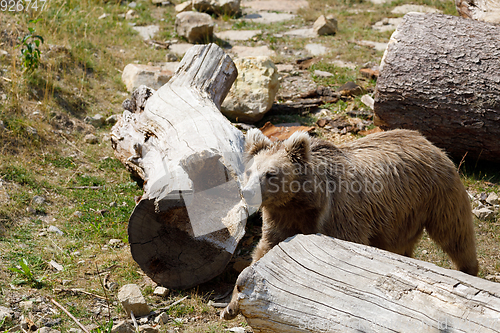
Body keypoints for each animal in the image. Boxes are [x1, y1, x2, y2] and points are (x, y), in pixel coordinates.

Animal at [222, 127, 476, 320]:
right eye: (250, 171)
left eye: (271, 174)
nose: (248, 192)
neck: (303, 203)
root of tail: (425, 139)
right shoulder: (281, 219)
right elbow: (262, 252)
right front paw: (231, 306)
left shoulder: (341, 216)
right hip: (400, 215)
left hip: (436, 194)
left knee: (454, 232)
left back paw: (468, 270)